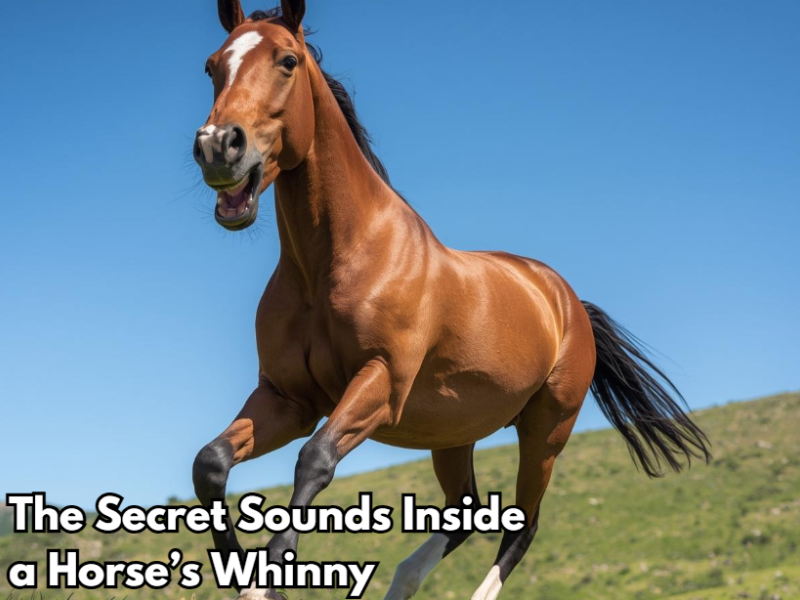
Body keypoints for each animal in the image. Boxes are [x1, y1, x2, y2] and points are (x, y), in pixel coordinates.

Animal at [190, 2, 711, 599]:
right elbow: (210, 465)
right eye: (212, 66)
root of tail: (568, 301)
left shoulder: (380, 383)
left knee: (522, 525)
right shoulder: (288, 400)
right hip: (454, 433)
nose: (217, 147)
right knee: (465, 512)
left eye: (287, 61)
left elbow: (314, 460)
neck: (333, 263)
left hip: (546, 431)